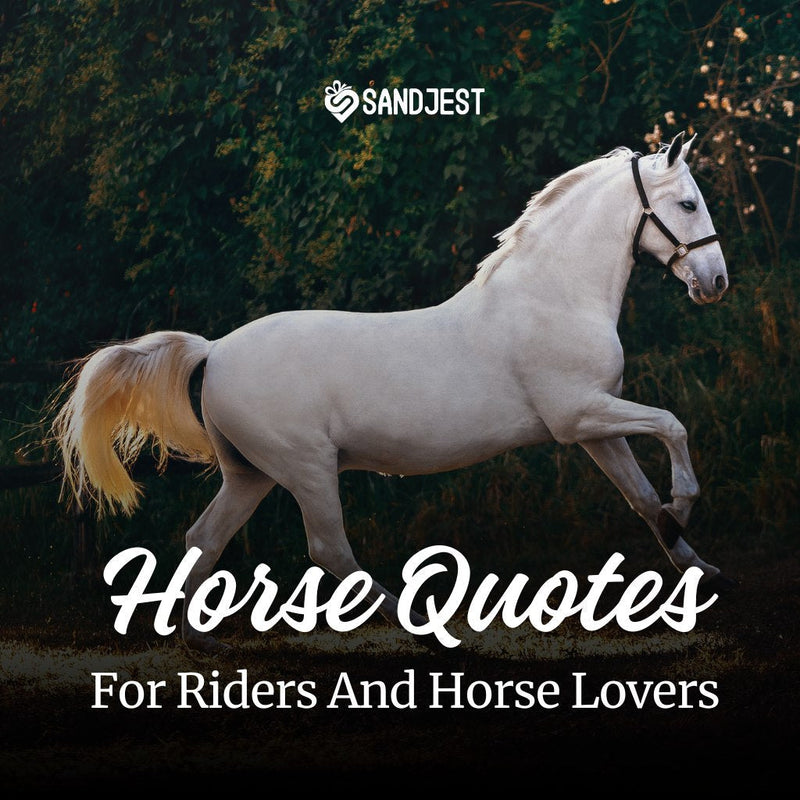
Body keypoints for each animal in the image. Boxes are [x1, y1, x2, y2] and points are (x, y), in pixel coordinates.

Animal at [53, 132, 736, 653]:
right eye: (688, 203)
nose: (715, 283)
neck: (554, 296)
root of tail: (215, 351)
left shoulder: (596, 427)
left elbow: (641, 499)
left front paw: (699, 565)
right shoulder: (579, 416)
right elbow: (672, 426)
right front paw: (685, 504)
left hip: (250, 474)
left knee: (205, 539)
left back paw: (204, 642)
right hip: (306, 467)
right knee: (329, 549)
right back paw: (422, 630)